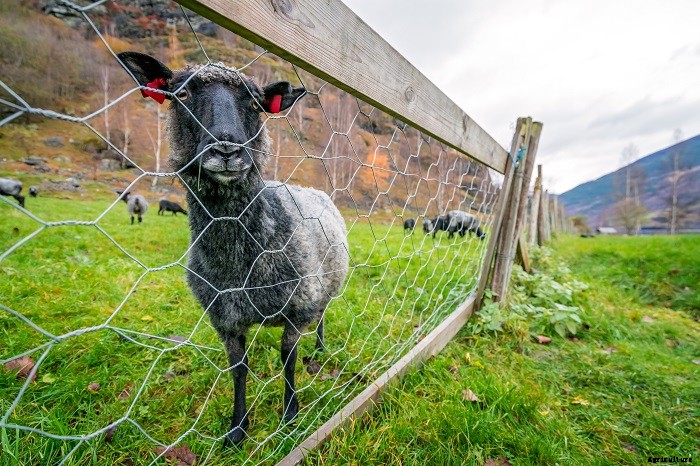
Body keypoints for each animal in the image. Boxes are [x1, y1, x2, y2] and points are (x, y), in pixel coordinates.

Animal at [118, 51, 349, 446]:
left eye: (256, 104)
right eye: (181, 95)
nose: (227, 149)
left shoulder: (298, 307)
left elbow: (288, 358)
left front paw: (290, 414)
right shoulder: (225, 319)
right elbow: (238, 369)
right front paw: (237, 428)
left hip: (325, 288)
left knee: (321, 317)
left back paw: (320, 346)